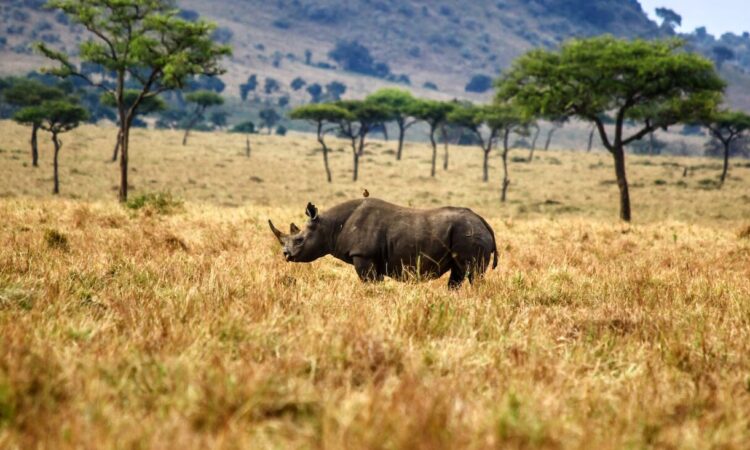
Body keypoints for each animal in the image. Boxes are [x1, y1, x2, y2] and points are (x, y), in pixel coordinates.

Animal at [268, 198, 498, 288]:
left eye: (299, 240)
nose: (286, 255)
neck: (328, 225)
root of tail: (484, 223)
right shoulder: (373, 260)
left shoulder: (363, 255)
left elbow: (369, 283)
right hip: (467, 232)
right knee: (458, 274)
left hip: (469, 234)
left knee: (473, 273)